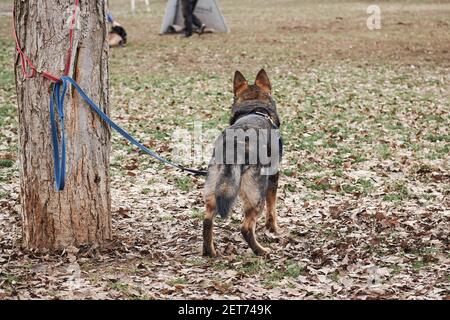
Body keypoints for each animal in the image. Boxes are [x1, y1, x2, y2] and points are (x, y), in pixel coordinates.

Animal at [203, 70, 284, 258]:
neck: (255, 109)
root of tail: (235, 147)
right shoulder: (273, 178)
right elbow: (272, 209)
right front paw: (272, 229)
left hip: (214, 191)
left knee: (207, 220)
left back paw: (210, 251)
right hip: (256, 195)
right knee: (246, 227)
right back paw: (260, 251)